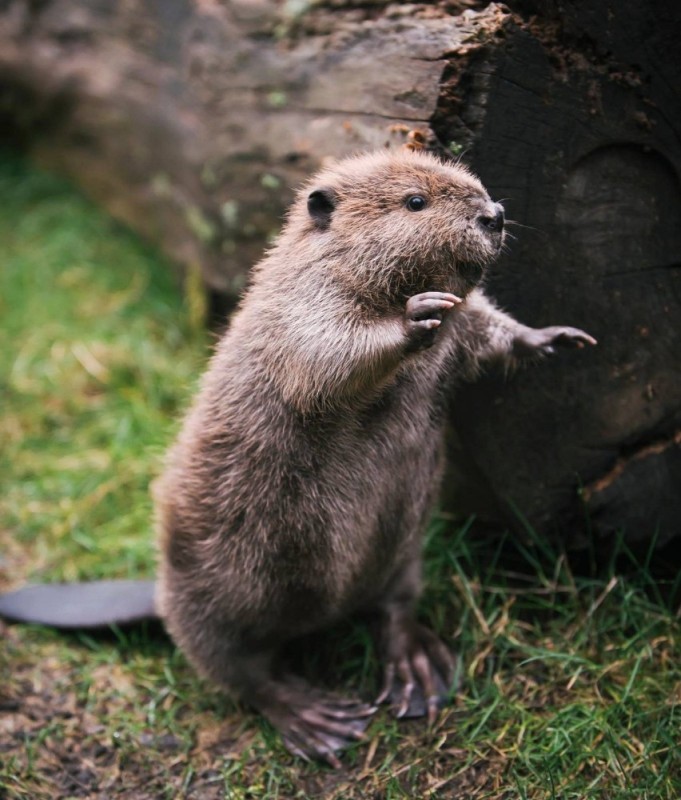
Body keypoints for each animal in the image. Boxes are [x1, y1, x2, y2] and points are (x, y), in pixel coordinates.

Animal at [0, 147, 596, 764]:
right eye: (415, 201)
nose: (493, 214)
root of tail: (156, 597)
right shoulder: (298, 306)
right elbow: (325, 356)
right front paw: (417, 313)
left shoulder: (458, 326)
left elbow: (482, 326)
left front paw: (556, 337)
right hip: (213, 595)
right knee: (240, 672)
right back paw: (320, 720)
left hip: (403, 554)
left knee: (392, 608)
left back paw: (417, 673)